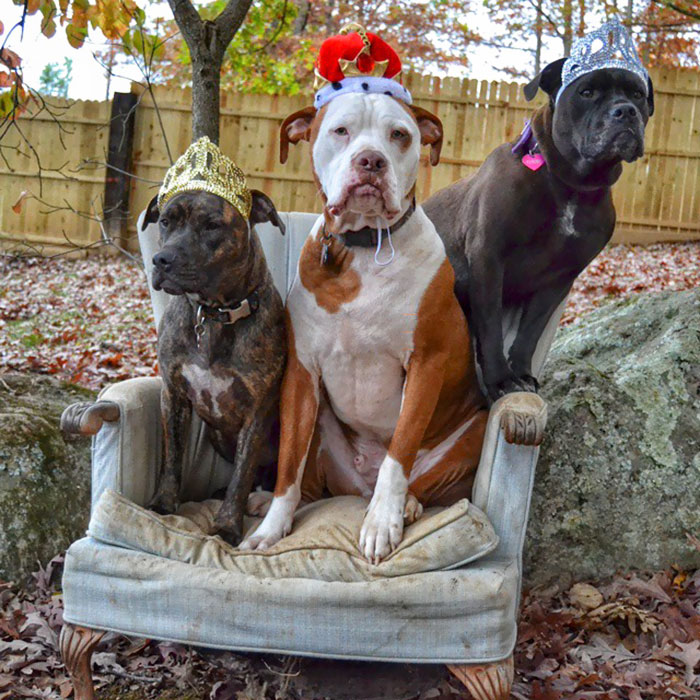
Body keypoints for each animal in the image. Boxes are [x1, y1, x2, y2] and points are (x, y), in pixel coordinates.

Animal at [142, 189, 288, 544]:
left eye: (212, 225)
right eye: (165, 221)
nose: (161, 259)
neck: (213, 315)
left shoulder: (257, 413)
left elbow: (241, 476)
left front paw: (226, 526)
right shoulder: (173, 395)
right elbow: (172, 459)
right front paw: (163, 504)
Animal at [243, 93, 490, 564]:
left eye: (400, 134)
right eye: (341, 130)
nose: (371, 160)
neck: (359, 249)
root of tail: (356, 489)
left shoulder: (425, 364)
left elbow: (399, 454)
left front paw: (381, 523)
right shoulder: (301, 375)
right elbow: (288, 466)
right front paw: (271, 528)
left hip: (476, 429)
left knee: (415, 481)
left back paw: (405, 506)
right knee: (311, 484)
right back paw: (265, 502)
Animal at [424, 63, 652, 408]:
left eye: (637, 94)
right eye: (587, 91)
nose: (625, 110)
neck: (571, 185)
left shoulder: (558, 279)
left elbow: (529, 333)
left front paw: (521, 373)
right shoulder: (488, 260)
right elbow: (491, 328)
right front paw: (501, 380)